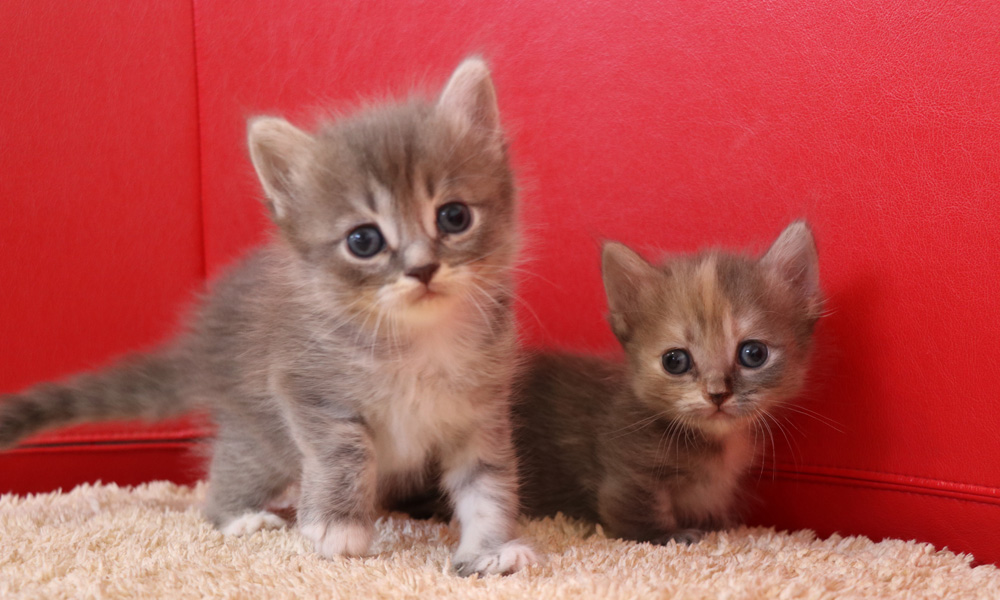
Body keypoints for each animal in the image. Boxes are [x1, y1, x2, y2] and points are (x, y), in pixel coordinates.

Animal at [0, 58, 540, 576]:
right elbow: (343, 450)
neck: (421, 338)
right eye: (363, 240)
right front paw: (338, 526)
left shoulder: (481, 410)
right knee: (229, 471)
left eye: (454, 216)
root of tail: (205, 344)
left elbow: (487, 482)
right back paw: (239, 517)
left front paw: (490, 550)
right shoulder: (305, 387)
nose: (423, 269)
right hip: (260, 430)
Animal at [508, 224, 820, 544]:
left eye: (754, 354)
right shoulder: (630, 472)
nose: (717, 393)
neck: (714, 443)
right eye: (675, 361)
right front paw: (672, 534)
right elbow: (640, 509)